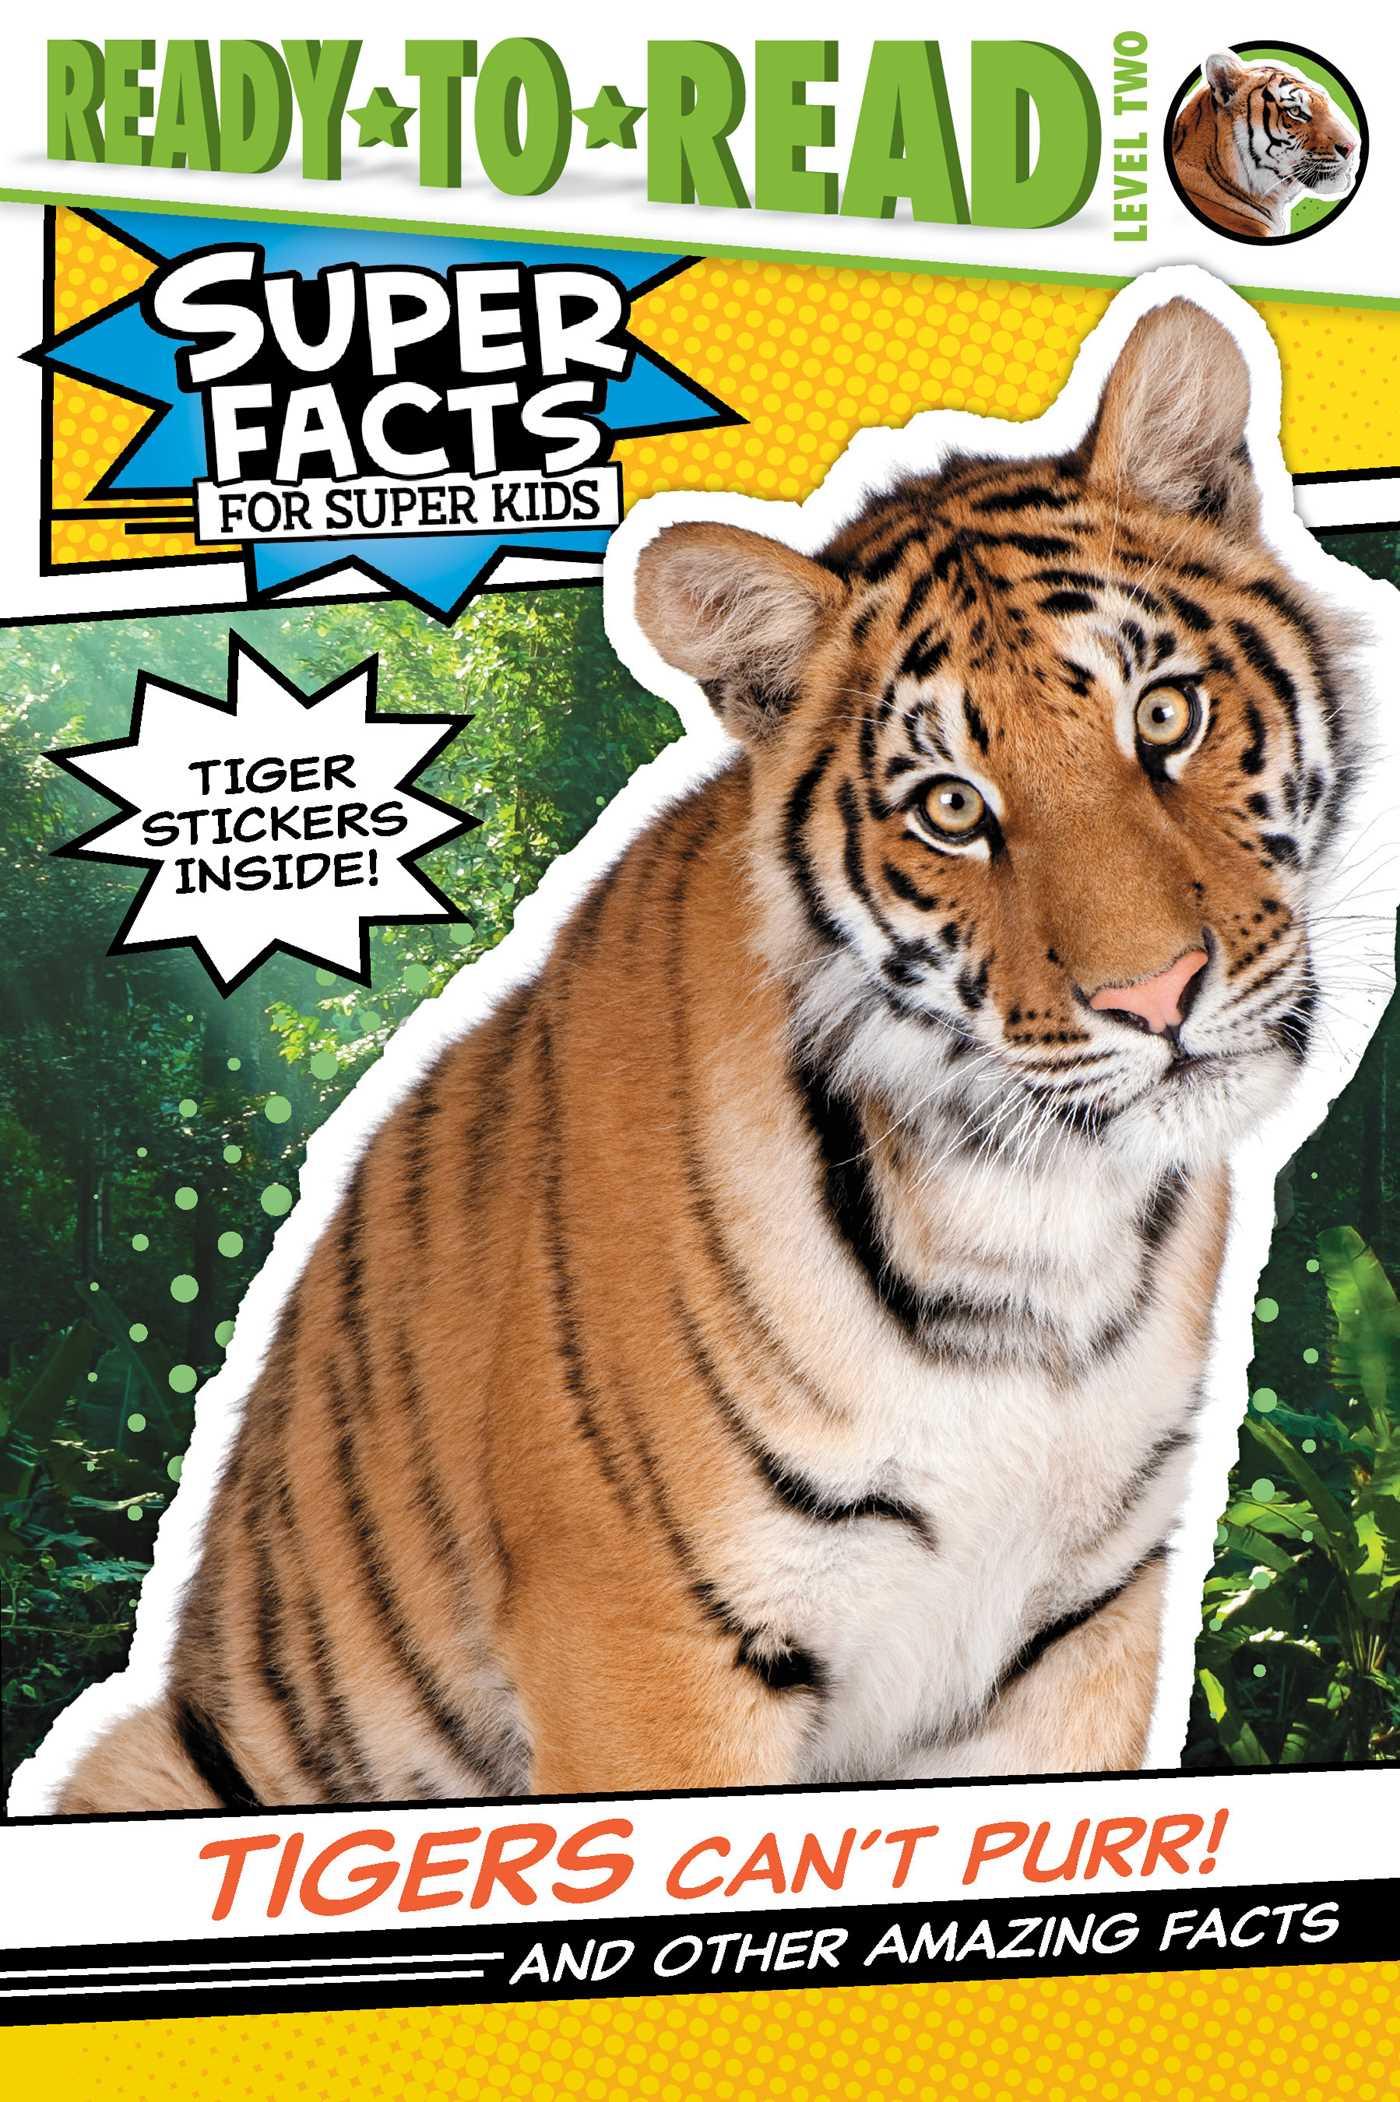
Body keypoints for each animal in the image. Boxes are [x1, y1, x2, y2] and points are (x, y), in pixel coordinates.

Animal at [45, 294, 1363, 1814]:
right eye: (951, 808)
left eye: (1163, 715)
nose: (1155, 993)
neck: (1028, 1226)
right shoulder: (651, 1636)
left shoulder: (1079, 1631)